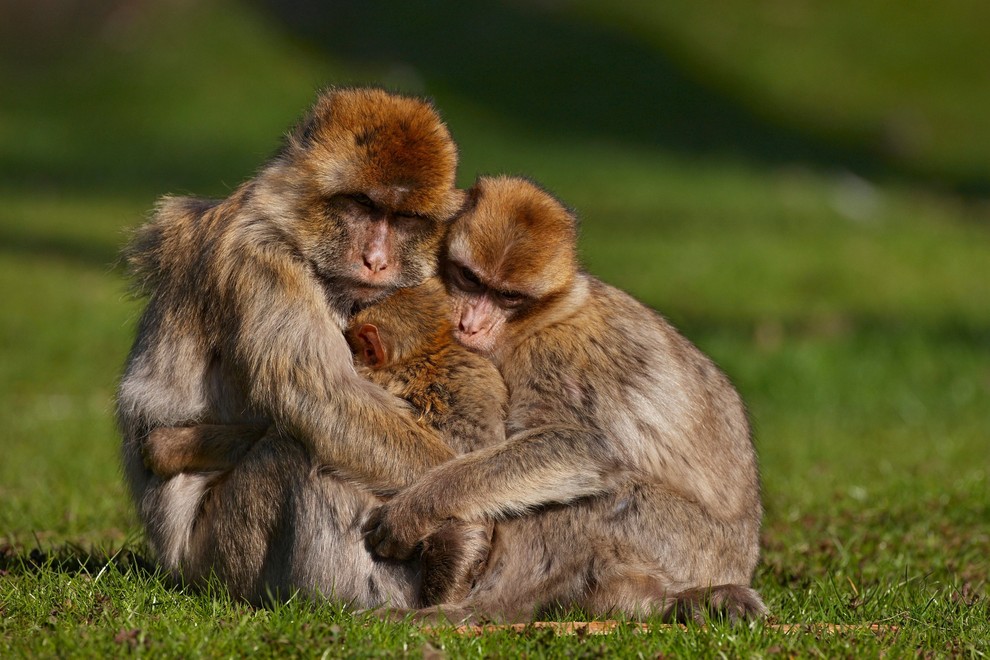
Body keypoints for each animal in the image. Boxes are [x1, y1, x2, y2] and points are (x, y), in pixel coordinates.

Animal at [116, 87, 500, 608]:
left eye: (403, 218)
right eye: (361, 205)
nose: (376, 260)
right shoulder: (260, 260)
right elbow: (323, 399)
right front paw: (470, 522)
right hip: (221, 554)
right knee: (299, 451)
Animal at [366, 175, 776, 624]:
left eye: (508, 297)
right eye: (470, 279)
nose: (470, 324)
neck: (543, 319)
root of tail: (741, 560)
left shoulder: (555, 357)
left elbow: (586, 447)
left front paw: (417, 508)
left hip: (684, 545)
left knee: (607, 494)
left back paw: (491, 606)